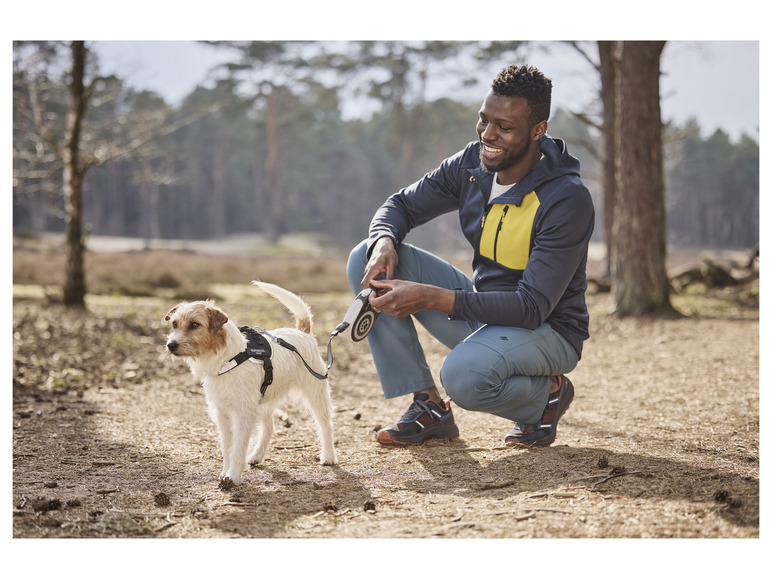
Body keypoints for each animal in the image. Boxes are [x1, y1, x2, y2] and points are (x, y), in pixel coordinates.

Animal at [164, 282, 336, 490]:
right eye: (174, 324)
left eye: (195, 324)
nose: (171, 345)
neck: (228, 358)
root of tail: (303, 332)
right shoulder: (222, 413)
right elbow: (227, 446)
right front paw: (225, 472)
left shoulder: (244, 414)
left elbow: (238, 447)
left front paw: (233, 476)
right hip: (264, 402)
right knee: (269, 428)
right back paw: (256, 456)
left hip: (316, 394)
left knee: (325, 424)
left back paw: (328, 456)